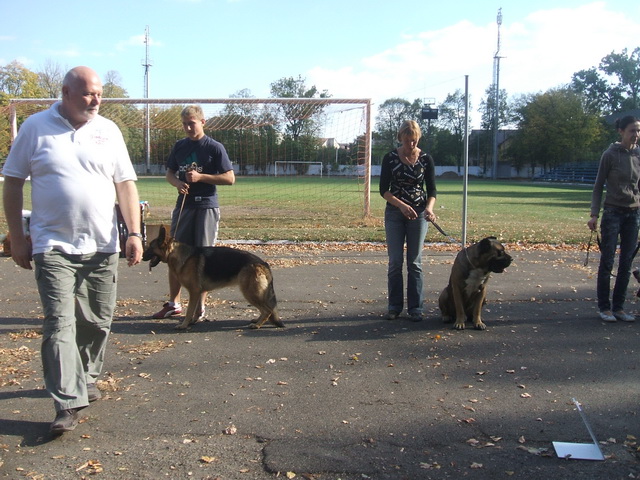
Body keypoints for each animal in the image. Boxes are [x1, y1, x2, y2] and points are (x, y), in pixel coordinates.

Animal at [142, 225, 284, 330]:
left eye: (150, 247)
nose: (142, 256)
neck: (180, 256)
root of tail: (263, 263)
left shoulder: (194, 292)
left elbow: (189, 311)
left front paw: (184, 325)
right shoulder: (198, 292)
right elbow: (196, 309)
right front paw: (193, 321)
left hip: (250, 292)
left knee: (267, 310)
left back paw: (258, 324)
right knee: (266, 308)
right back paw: (258, 320)